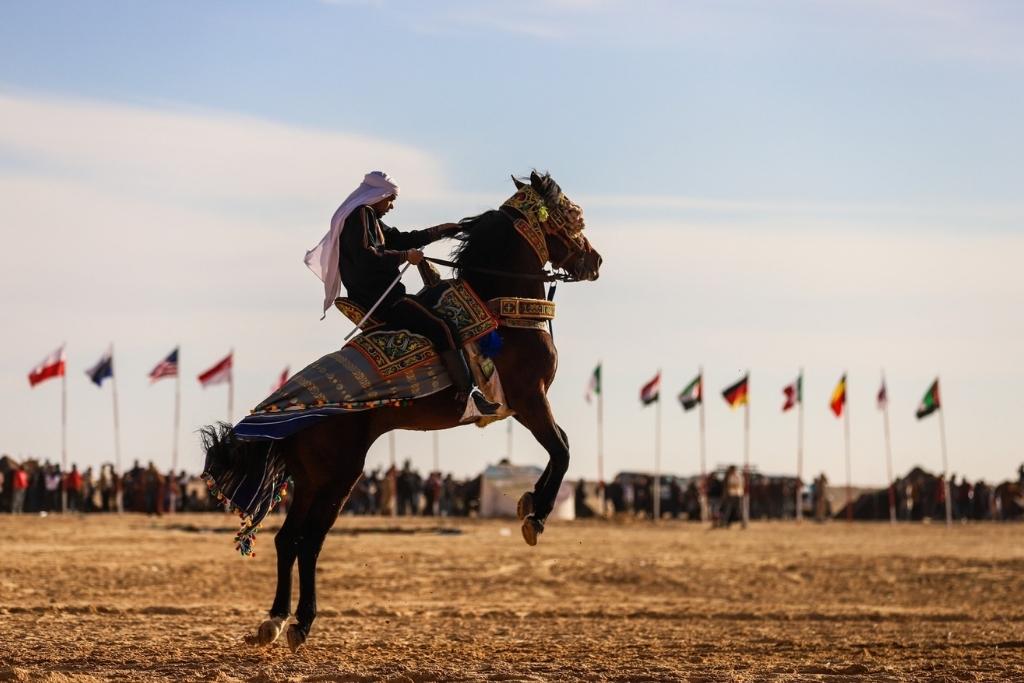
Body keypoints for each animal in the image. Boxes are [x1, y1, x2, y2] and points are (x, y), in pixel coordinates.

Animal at [199, 171, 598, 651]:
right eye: (571, 217)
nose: (595, 260)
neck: (501, 306)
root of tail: (277, 415)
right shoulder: (529, 399)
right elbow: (562, 451)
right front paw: (533, 516)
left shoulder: (524, 405)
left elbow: (562, 447)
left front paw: (528, 503)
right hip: (340, 476)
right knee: (309, 541)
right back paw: (301, 623)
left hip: (311, 480)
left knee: (287, 539)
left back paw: (274, 620)